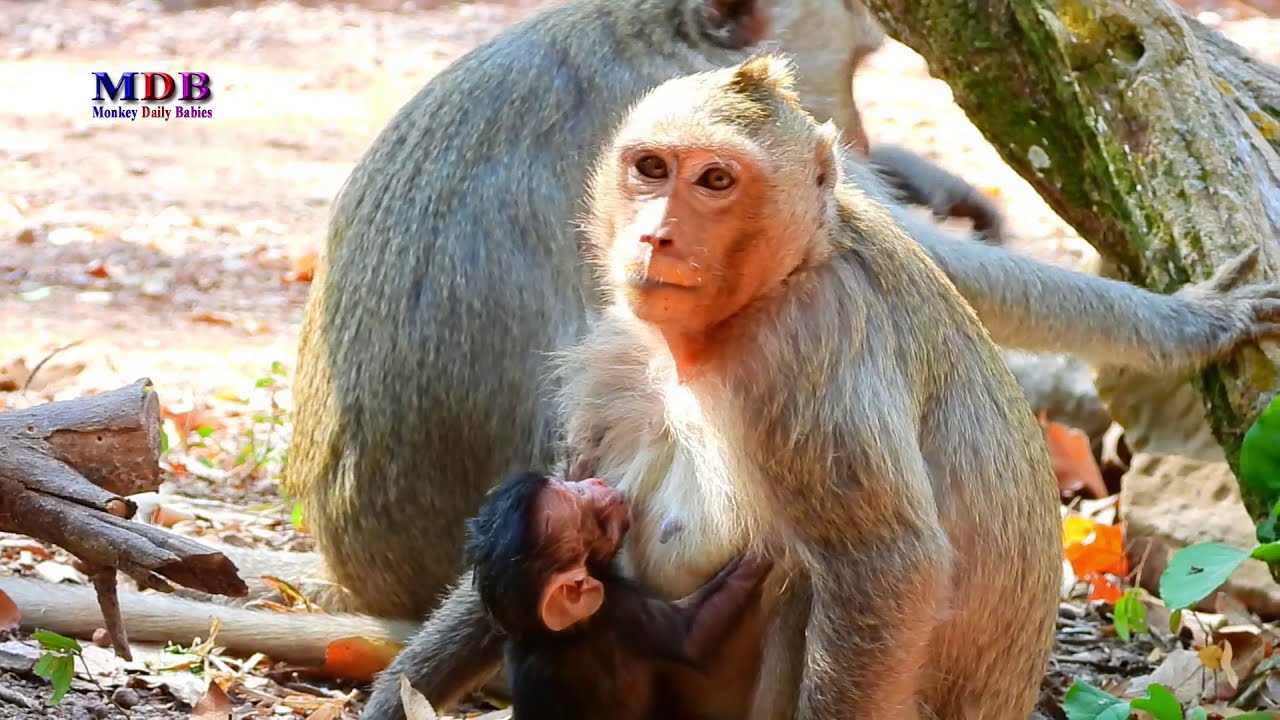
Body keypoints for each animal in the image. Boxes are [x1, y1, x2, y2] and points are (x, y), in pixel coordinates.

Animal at [466, 471, 773, 720]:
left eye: (568, 484)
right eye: (578, 496)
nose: (593, 482)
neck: (547, 635)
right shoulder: (618, 607)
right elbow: (690, 636)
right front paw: (767, 548)